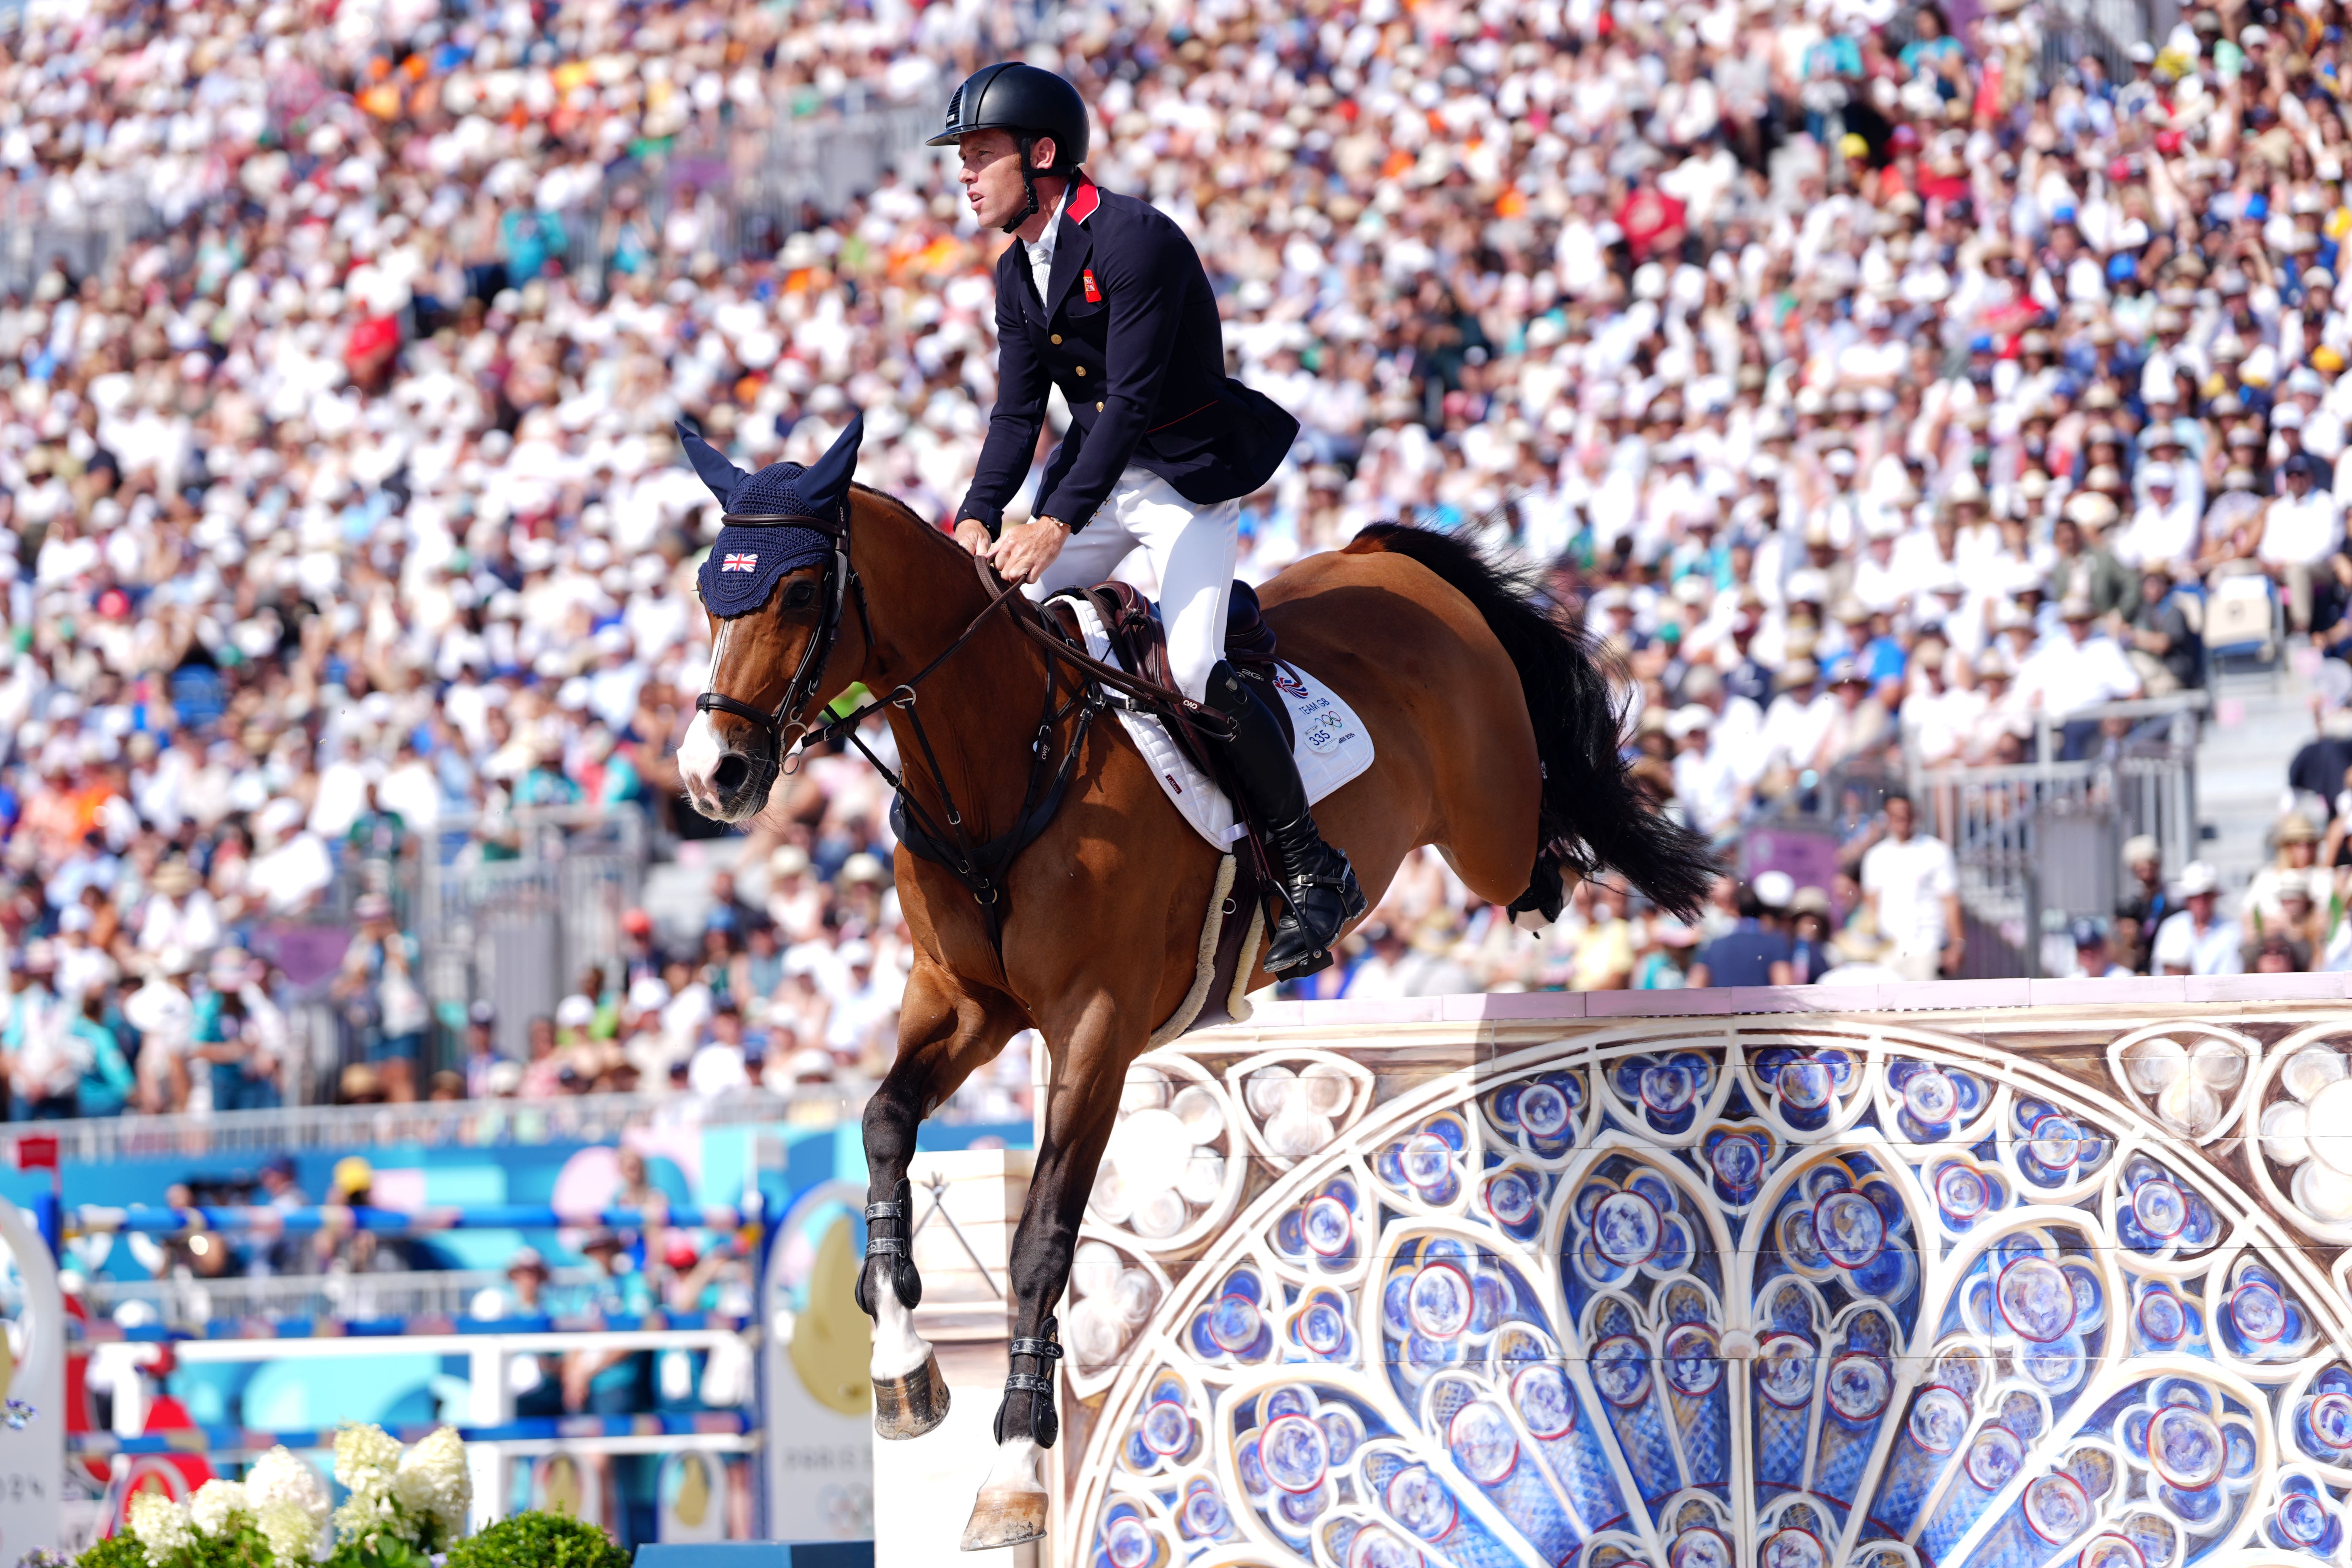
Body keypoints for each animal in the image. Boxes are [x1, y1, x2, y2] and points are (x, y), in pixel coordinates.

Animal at [677, 451, 1712, 1542]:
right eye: (710, 591)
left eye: (799, 592)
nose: (712, 776)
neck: (999, 765)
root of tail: (1379, 560)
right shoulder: (961, 1003)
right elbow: (883, 1123)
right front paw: (901, 1365)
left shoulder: (1095, 1026)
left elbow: (1043, 1238)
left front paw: (1013, 1468)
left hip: (1489, 831)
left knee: (1542, 850)